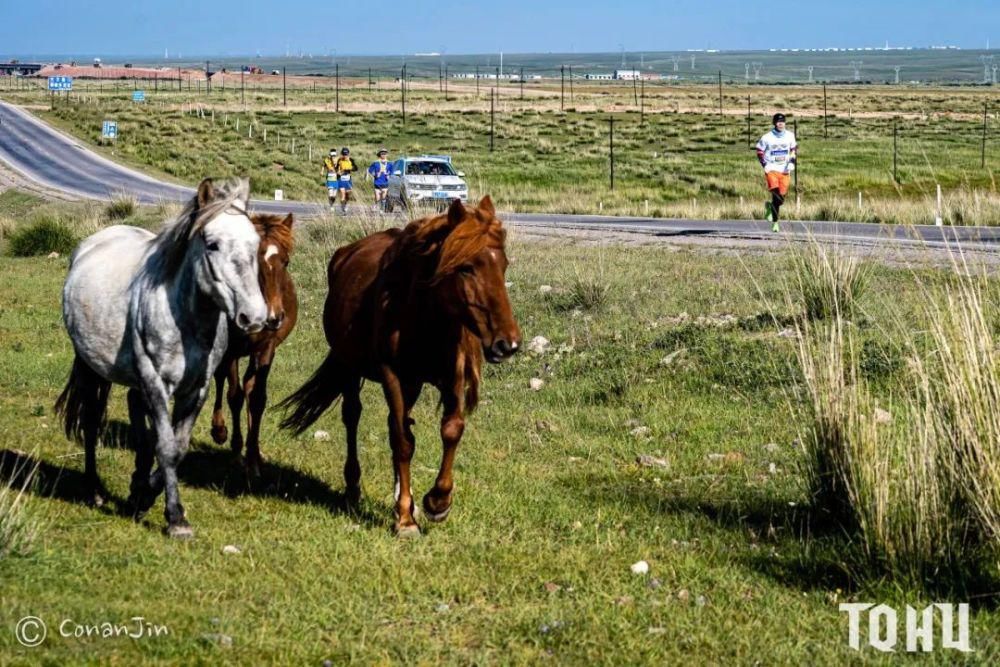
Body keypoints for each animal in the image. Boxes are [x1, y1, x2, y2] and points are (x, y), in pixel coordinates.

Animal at [56, 177, 267, 539]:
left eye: (255, 243)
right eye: (212, 244)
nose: (253, 317)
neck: (187, 321)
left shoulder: (197, 389)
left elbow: (177, 448)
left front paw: (141, 496)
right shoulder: (155, 382)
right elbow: (165, 447)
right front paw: (175, 518)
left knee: (133, 409)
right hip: (91, 368)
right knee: (91, 419)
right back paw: (94, 490)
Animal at [209, 212, 297, 477]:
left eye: (286, 262)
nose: (274, 317)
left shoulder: (266, 348)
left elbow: (256, 398)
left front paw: (254, 459)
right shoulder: (231, 349)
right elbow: (234, 396)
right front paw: (235, 450)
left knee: (248, 384)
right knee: (221, 380)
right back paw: (220, 430)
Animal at [280, 196, 521, 536]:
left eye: (504, 265)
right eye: (466, 268)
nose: (507, 344)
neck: (423, 317)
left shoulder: (451, 376)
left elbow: (451, 429)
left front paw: (436, 502)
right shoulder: (392, 376)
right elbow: (402, 442)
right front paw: (406, 519)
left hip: (412, 384)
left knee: (400, 422)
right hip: (351, 367)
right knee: (354, 417)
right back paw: (353, 489)